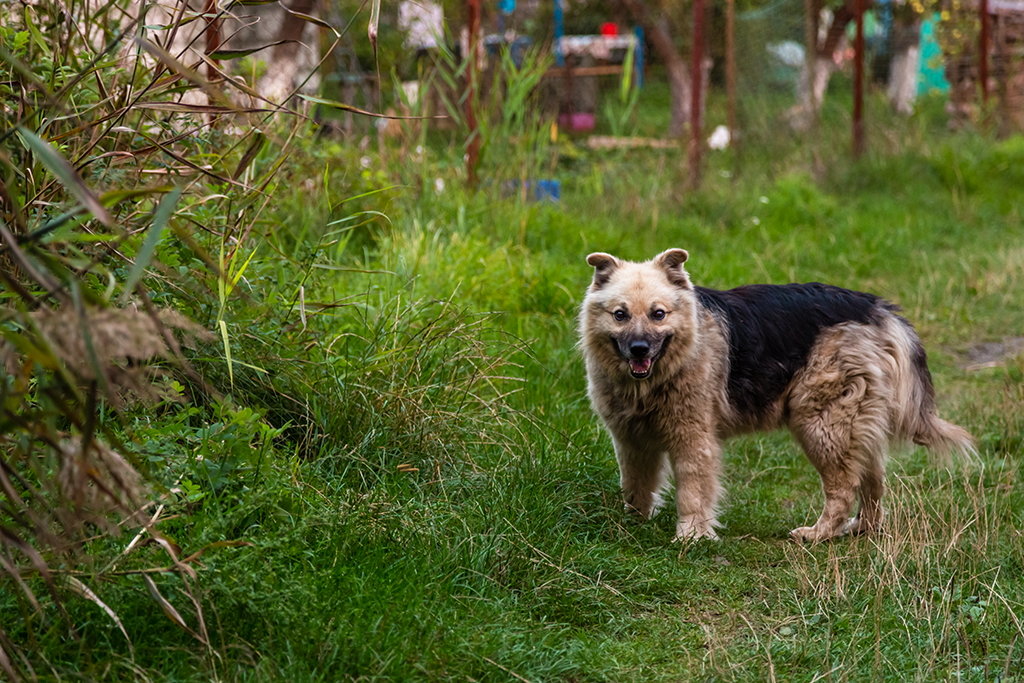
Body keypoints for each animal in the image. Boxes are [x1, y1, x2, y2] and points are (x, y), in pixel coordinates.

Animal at [577, 248, 974, 540]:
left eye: (658, 314)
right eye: (620, 315)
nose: (639, 349)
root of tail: (874, 307)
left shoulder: (693, 439)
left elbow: (692, 491)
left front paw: (691, 536)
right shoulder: (630, 440)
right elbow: (634, 485)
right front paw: (632, 524)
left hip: (822, 424)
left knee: (844, 487)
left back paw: (819, 533)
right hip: (853, 426)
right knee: (872, 480)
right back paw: (863, 528)